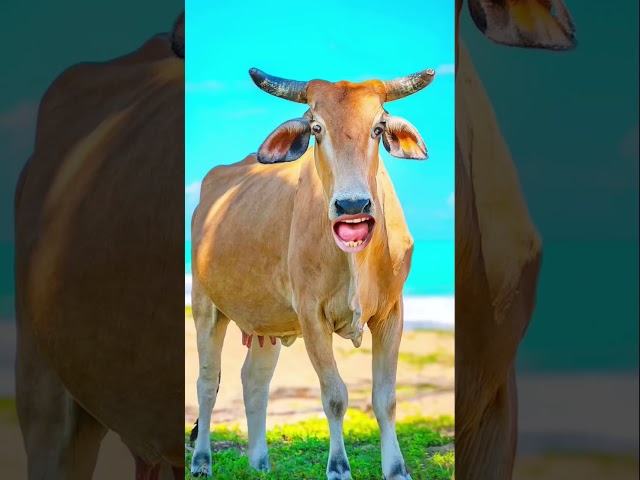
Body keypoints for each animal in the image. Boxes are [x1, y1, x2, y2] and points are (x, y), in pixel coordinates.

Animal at [189, 68, 437, 479]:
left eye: (378, 127)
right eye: (317, 128)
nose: (352, 205)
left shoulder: (392, 313)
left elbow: (385, 398)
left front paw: (397, 468)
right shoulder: (311, 316)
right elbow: (334, 396)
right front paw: (338, 466)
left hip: (267, 324)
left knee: (254, 381)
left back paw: (259, 462)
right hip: (206, 307)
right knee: (208, 382)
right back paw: (201, 460)